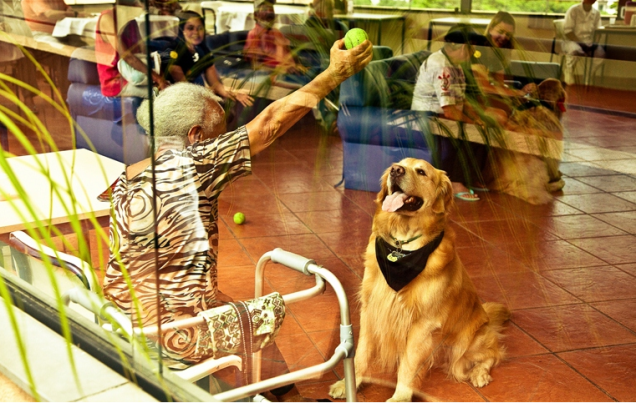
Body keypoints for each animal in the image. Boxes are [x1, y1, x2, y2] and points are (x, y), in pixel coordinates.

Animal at [330, 159, 510, 402]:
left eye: (422, 171)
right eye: (397, 165)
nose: (396, 170)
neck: (401, 245)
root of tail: (486, 316)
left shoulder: (422, 324)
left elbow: (408, 365)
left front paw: (400, 396)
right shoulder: (370, 310)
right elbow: (361, 353)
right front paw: (350, 383)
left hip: (466, 344)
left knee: (492, 354)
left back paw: (479, 374)